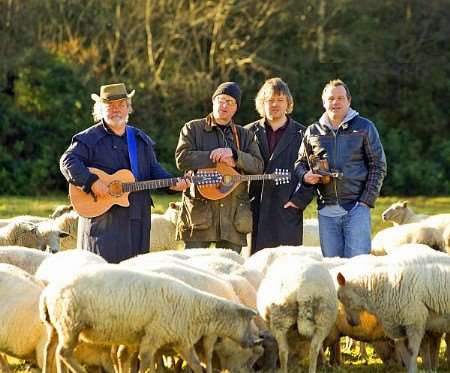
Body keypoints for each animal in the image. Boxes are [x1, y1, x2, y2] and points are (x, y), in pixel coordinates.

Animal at [41, 264, 260, 372]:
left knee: (52, 351)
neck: (196, 308)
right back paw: (80, 370)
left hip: (57, 326)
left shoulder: (181, 341)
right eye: (248, 321)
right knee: (63, 353)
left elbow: (196, 364)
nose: (252, 342)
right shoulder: (154, 336)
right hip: (70, 324)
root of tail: (48, 292)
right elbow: (145, 361)